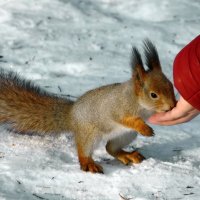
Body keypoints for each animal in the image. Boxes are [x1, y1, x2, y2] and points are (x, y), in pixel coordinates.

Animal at [0, 39, 175, 173]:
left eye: (171, 85)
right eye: (153, 95)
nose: (172, 105)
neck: (139, 103)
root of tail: (71, 115)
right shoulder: (117, 108)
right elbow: (124, 119)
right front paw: (144, 127)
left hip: (125, 135)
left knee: (110, 148)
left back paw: (127, 155)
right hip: (90, 134)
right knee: (84, 151)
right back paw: (88, 163)